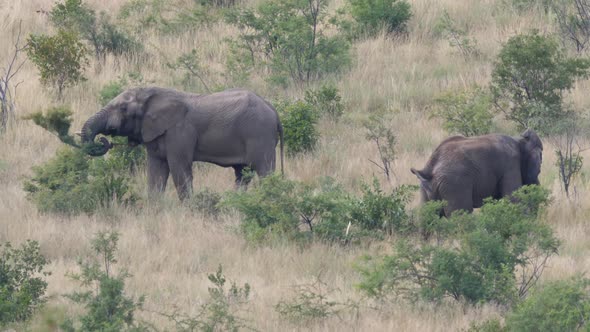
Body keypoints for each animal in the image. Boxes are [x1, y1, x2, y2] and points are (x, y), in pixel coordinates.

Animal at [82, 87, 286, 200]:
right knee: (242, 173)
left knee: (264, 171)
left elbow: (179, 168)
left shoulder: (179, 132)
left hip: (260, 135)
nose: (104, 141)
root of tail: (274, 111)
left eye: (123, 109)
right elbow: (156, 171)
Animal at [412, 130, 544, 218]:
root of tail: (429, 171)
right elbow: (514, 200)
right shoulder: (510, 166)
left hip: (425, 188)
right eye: (539, 166)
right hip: (454, 185)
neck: (519, 140)